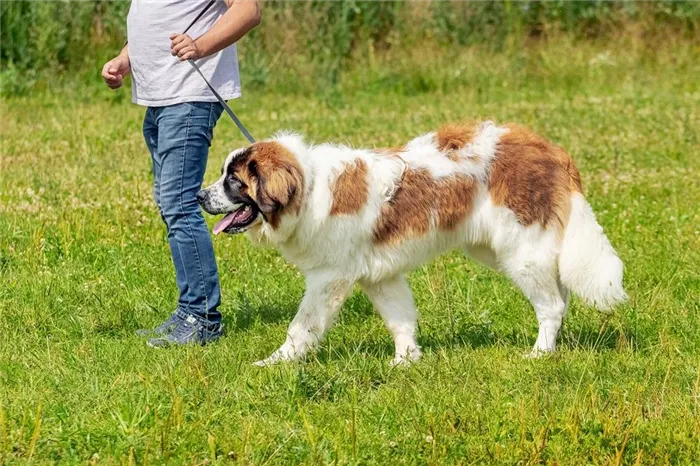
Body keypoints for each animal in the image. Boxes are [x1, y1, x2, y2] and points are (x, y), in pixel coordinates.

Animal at [198, 122, 628, 366]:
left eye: (233, 181)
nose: (200, 196)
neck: (309, 187)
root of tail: (550, 149)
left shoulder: (328, 279)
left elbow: (302, 326)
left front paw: (276, 362)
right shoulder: (380, 276)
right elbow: (399, 318)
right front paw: (406, 361)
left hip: (520, 251)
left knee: (551, 305)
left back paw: (540, 353)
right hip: (505, 250)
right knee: (559, 294)